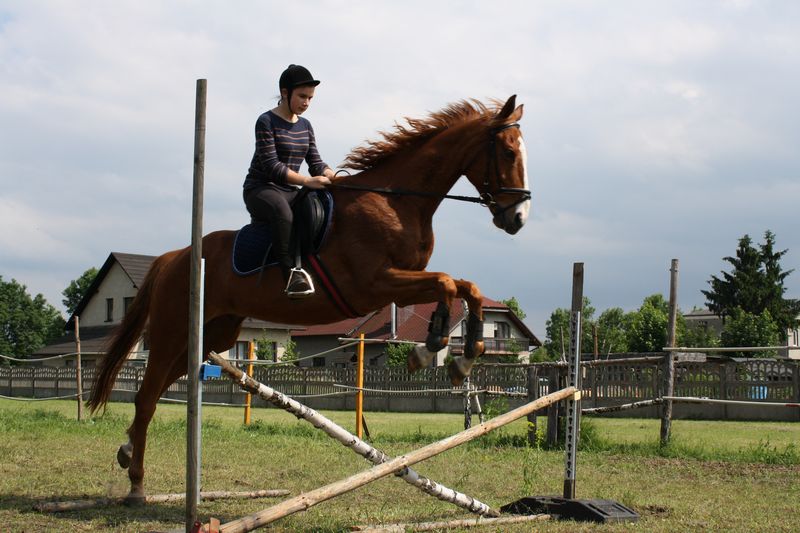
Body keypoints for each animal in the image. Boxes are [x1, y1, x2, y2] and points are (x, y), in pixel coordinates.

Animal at [87, 95, 531, 503]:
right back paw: (136, 483)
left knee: (158, 389)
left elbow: (465, 287)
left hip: (214, 335)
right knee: (146, 396)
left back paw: (127, 450)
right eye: (509, 151)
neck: (395, 200)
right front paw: (429, 349)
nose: (518, 218)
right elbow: (446, 284)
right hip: (173, 330)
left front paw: (464, 355)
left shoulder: (400, 281)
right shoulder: (374, 284)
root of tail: (173, 257)